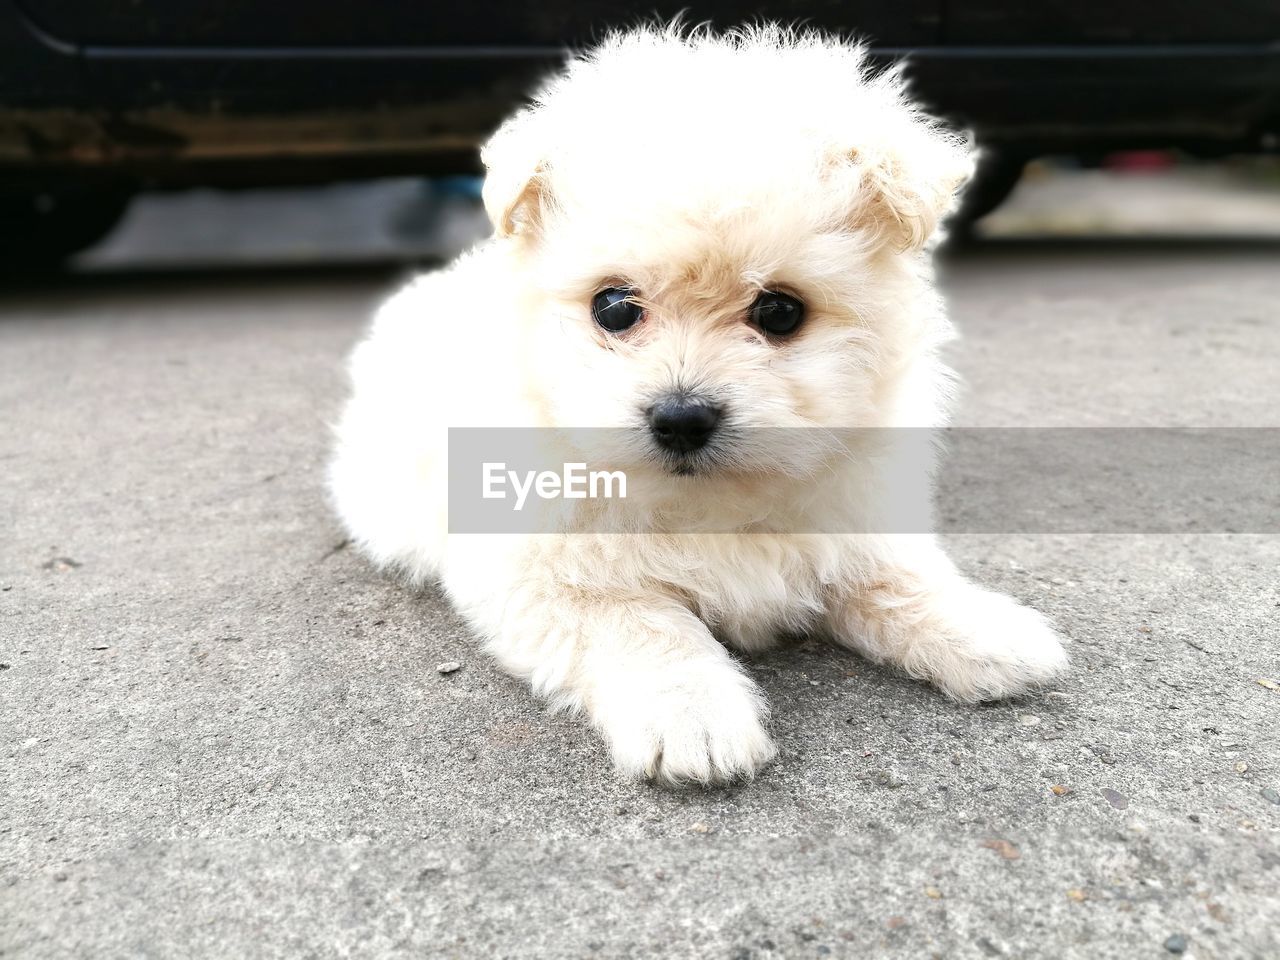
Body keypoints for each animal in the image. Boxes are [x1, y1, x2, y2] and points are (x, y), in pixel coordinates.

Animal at [325, 24, 1064, 788]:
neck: (703, 503)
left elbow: (893, 575)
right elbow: (642, 627)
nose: (681, 419)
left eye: (780, 311)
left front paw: (981, 629)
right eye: (614, 307)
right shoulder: (546, 576)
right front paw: (693, 718)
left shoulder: (851, 517)